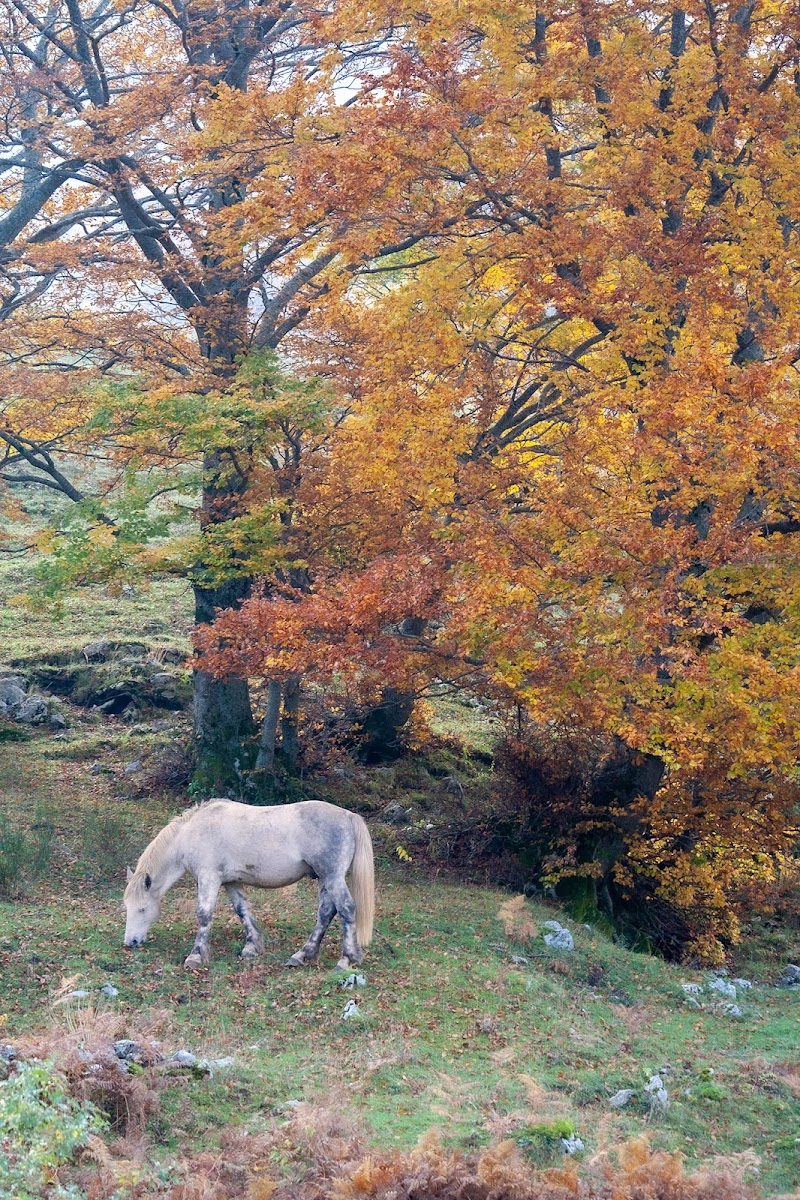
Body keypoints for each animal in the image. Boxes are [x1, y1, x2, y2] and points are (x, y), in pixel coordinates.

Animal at [122, 801, 376, 969]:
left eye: (142, 909)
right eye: (127, 908)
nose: (130, 942)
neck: (192, 833)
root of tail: (348, 816)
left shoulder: (208, 878)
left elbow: (204, 915)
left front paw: (195, 957)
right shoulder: (231, 882)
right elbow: (242, 910)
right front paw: (252, 947)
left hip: (332, 877)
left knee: (346, 909)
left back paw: (347, 959)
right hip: (325, 879)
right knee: (325, 913)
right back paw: (303, 955)